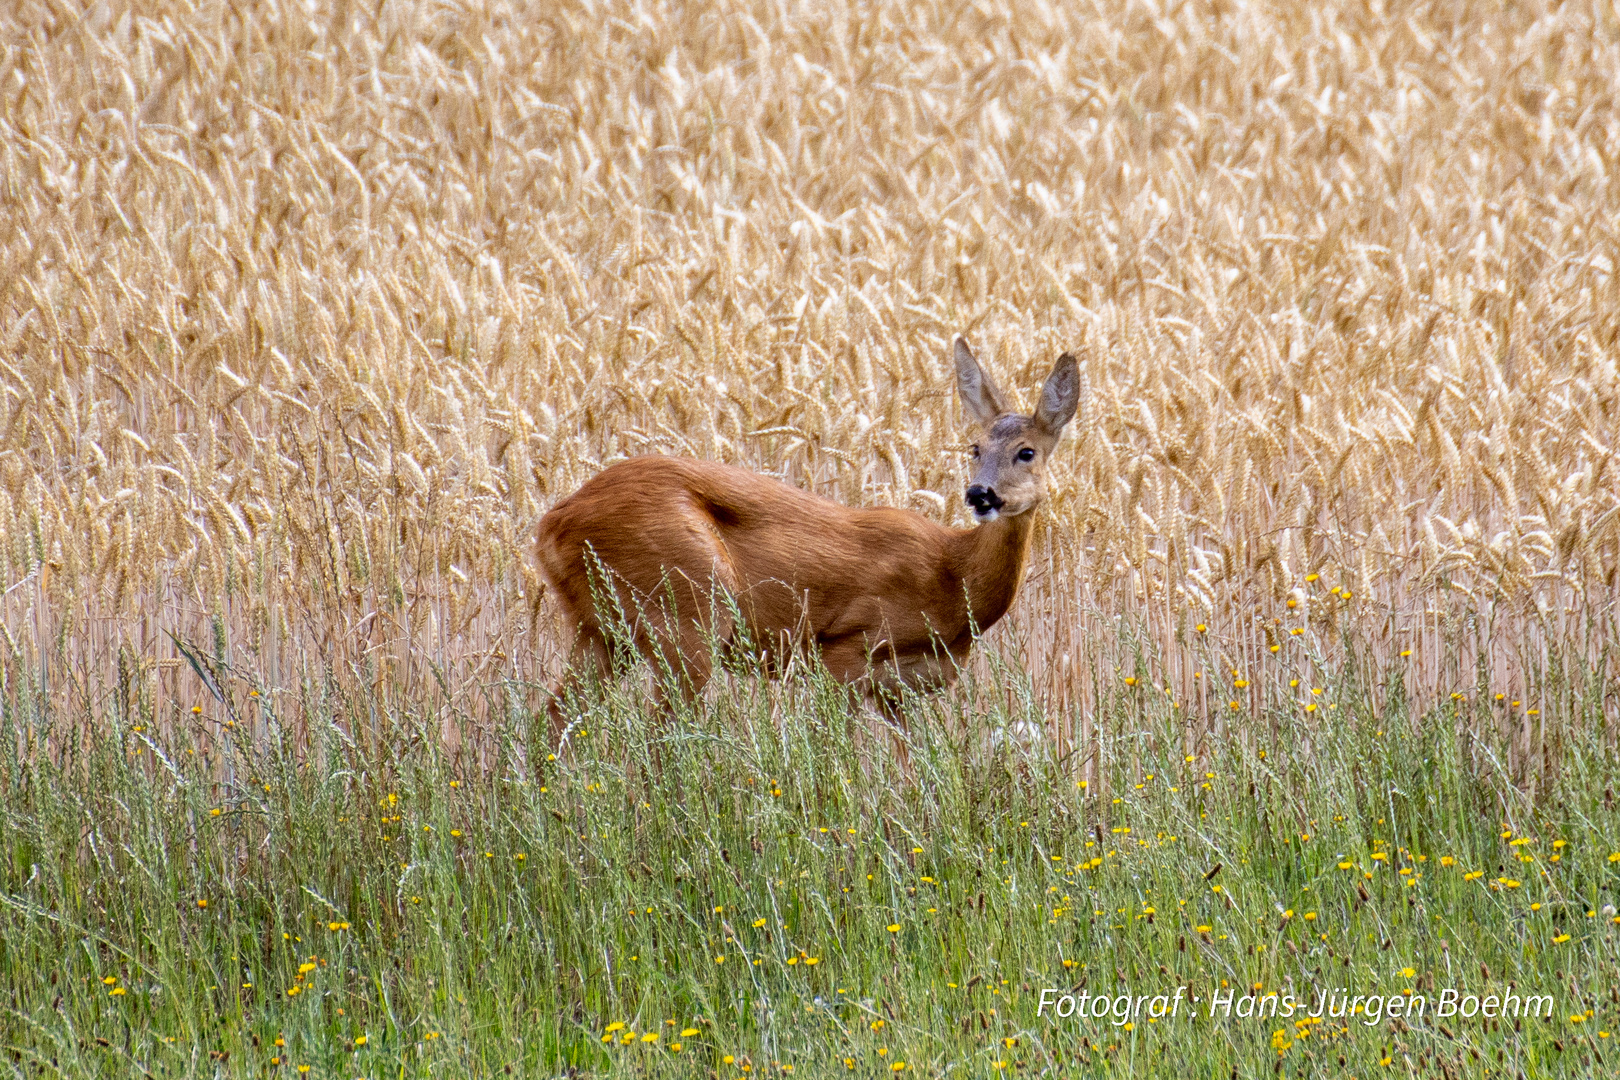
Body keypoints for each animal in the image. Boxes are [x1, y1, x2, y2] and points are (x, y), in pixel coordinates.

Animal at [537, 333, 1082, 731]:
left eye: (1027, 451)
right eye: (974, 448)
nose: (980, 494)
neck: (953, 575)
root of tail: (551, 524)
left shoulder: (901, 691)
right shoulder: (843, 652)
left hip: (601, 630)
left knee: (553, 719)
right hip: (689, 611)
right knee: (656, 733)